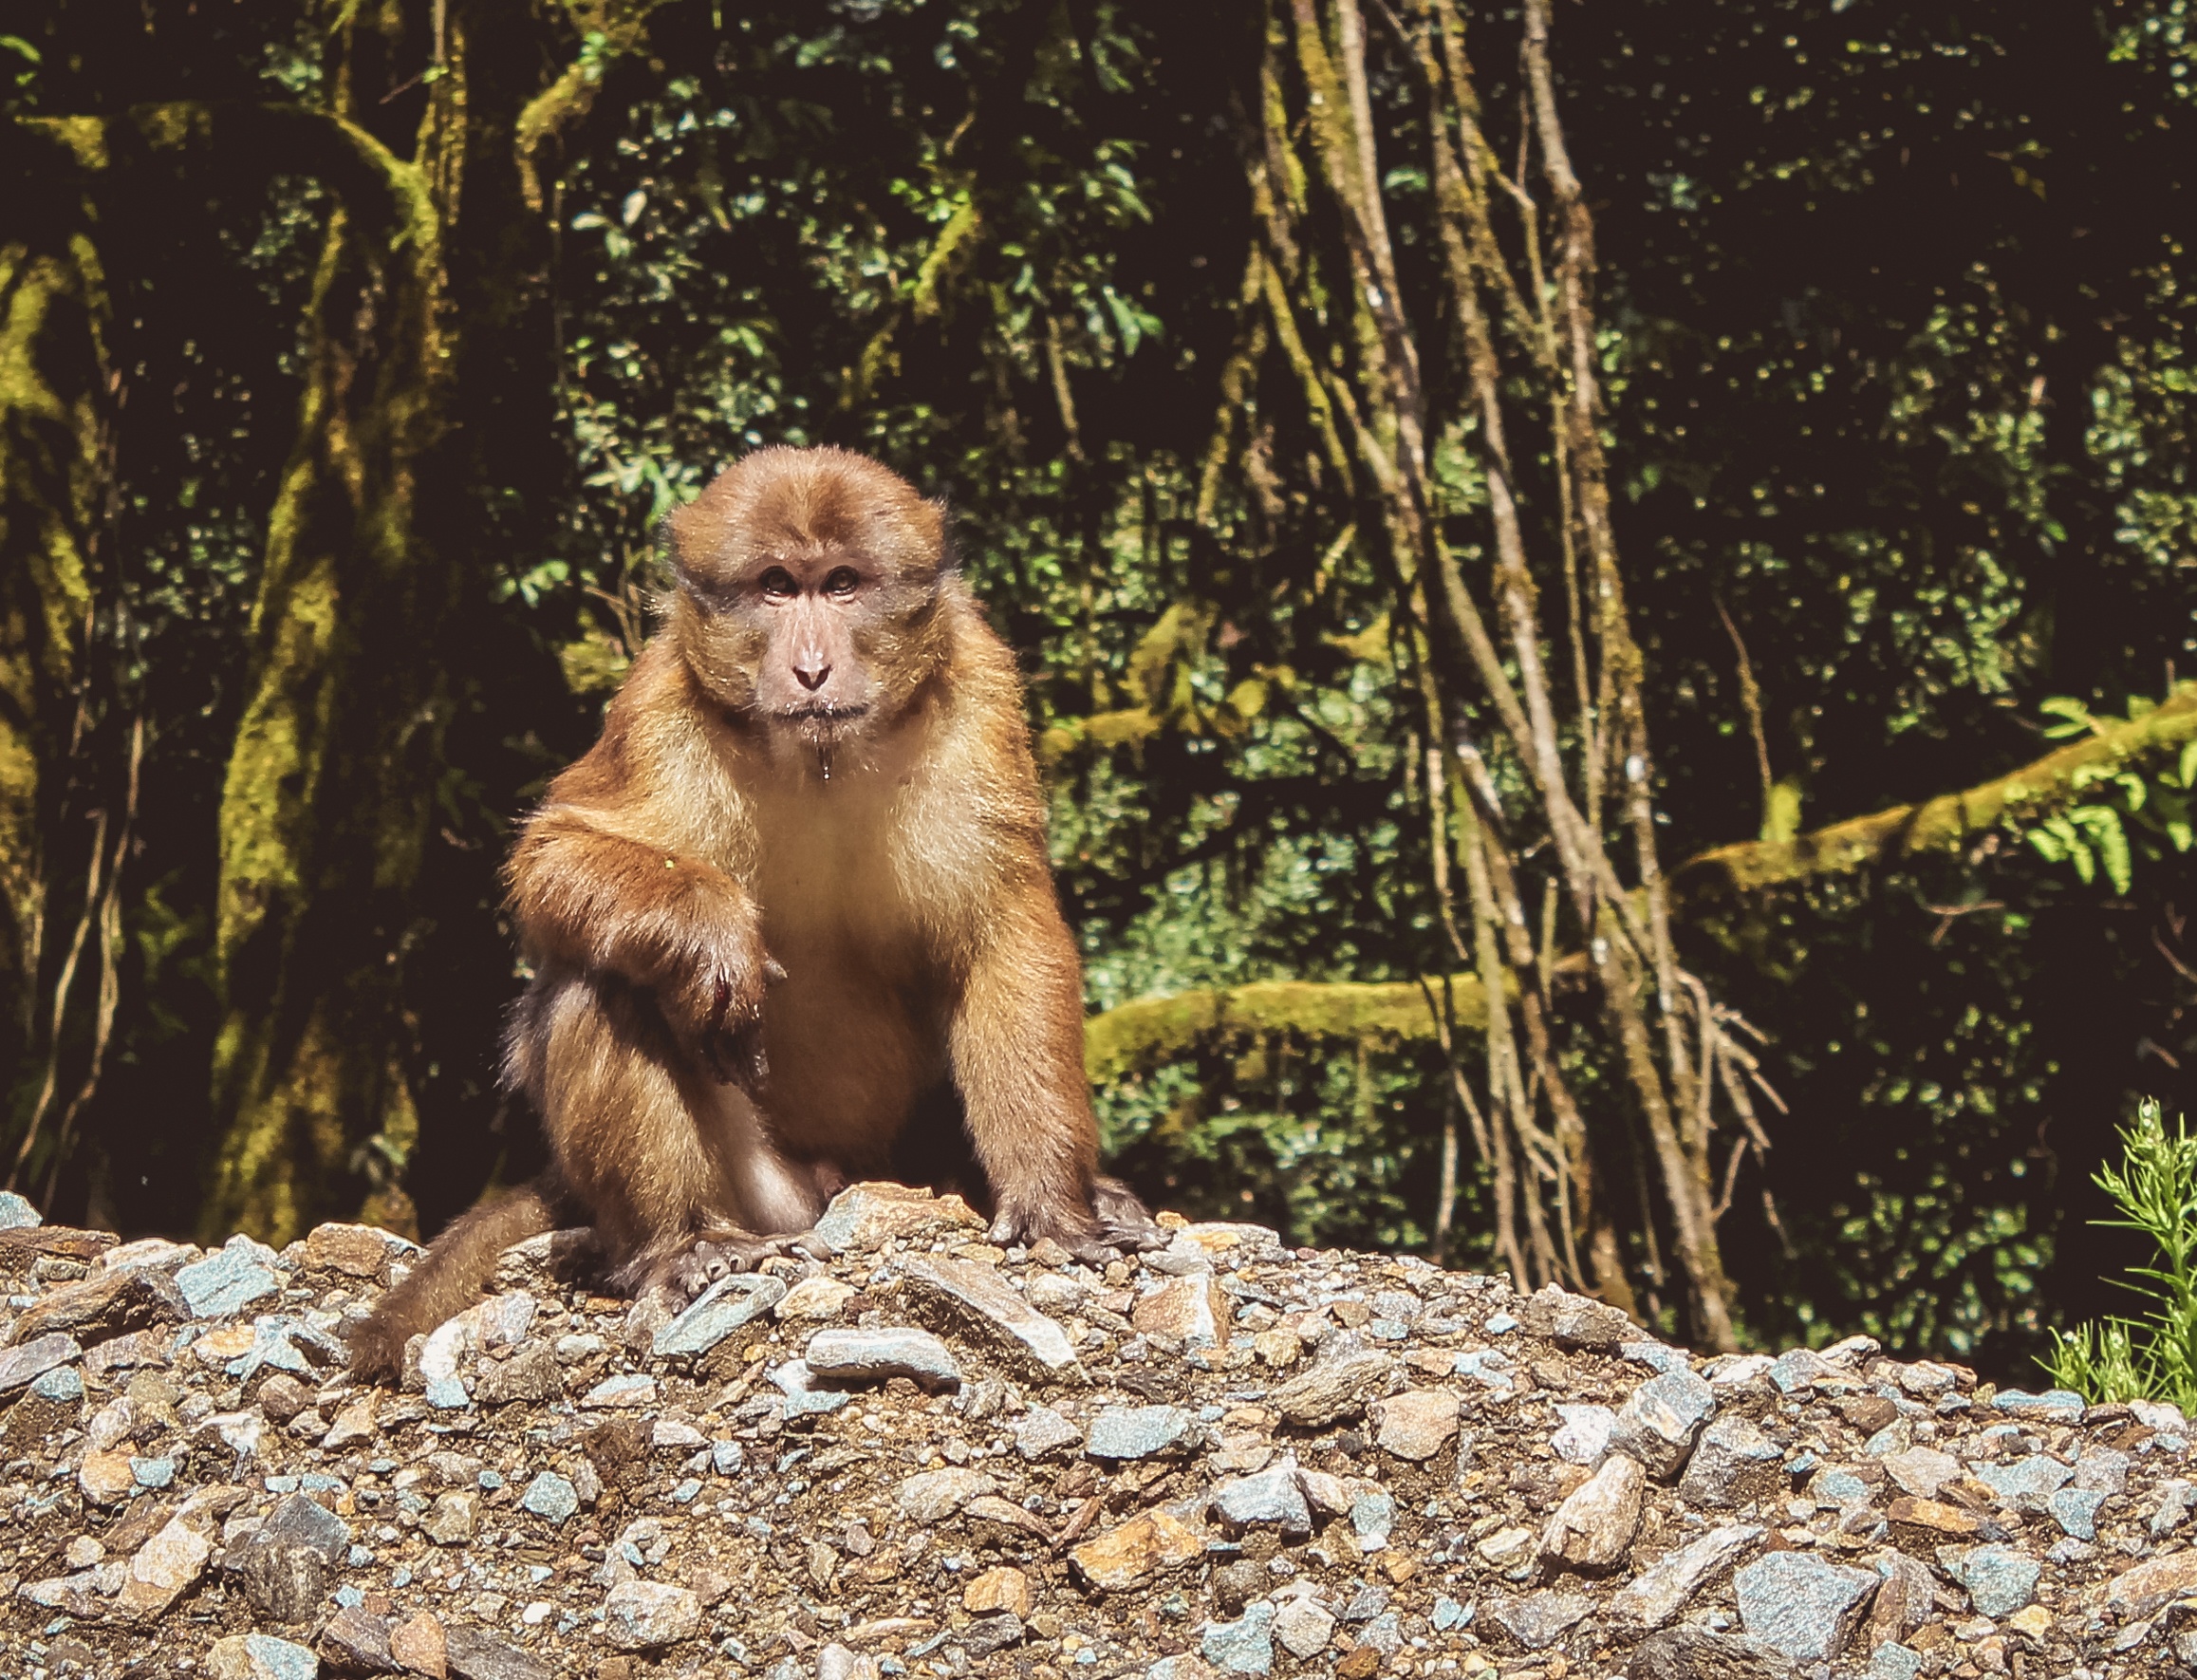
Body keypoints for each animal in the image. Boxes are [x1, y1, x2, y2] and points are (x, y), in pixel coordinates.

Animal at [349, 445, 1159, 1381]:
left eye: (840, 585)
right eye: (776, 586)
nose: (809, 669)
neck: (822, 758)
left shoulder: (981, 694)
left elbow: (1001, 934)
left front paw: (1051, 1203)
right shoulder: (660, 702)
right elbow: (554, 854)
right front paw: (708, 933)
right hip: (765, 1195)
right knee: (600, 980)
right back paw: (681, 1241)